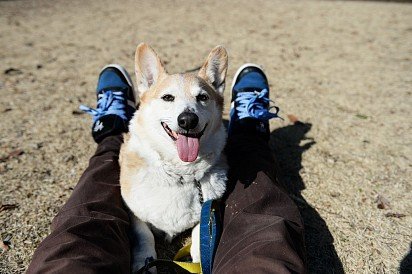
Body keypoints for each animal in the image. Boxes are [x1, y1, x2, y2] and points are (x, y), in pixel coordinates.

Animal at [119, 44, 229, 270]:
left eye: (202, 97)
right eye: (168, 97)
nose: (187, 120)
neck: (180, 173)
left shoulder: (209, 207)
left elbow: (199, 230)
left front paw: (199, 256)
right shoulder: (134, 213)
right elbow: (144, 235)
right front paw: (144, 262)